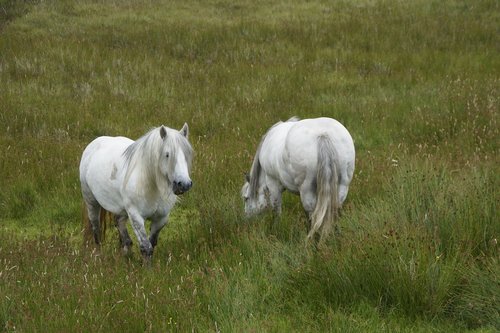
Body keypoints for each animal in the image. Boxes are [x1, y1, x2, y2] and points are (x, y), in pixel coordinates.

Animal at [80, 122, 193, 260]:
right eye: (167, 154)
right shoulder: (136, 217)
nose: (184, 184)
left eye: (186, 155)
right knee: (96, 228)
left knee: (119, 224)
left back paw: (126, 252)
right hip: (91, 201)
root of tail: (93, 144)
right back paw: (98, 254)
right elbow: (146, 247)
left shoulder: (161, 219)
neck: (151, 184)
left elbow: (152, 243)